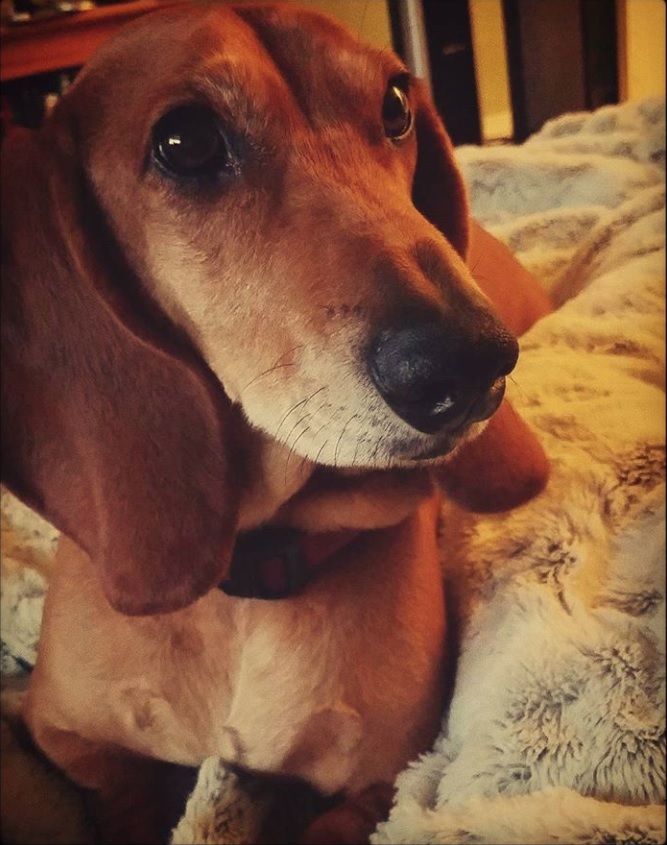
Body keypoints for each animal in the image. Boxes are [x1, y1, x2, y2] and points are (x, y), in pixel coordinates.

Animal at [1, 3, 552, 840]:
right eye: (186, 142)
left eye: (395, 104)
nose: (473, 366)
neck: (247, 583)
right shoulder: (57, 731)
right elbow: (126, 792)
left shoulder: (389, 779)